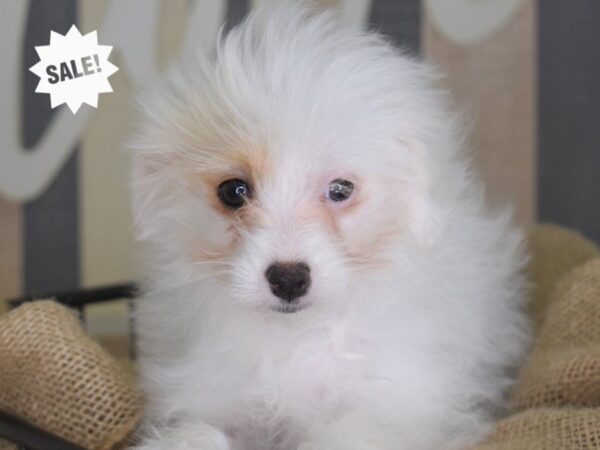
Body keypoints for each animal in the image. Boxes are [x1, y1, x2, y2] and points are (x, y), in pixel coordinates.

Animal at [129, 4, 528, 450]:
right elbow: (201, 432)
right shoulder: (215, 395)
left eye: (340, 189)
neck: (299, 335)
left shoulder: (402, 408)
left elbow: (344, 431)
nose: (288, 278)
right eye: (233, 191)